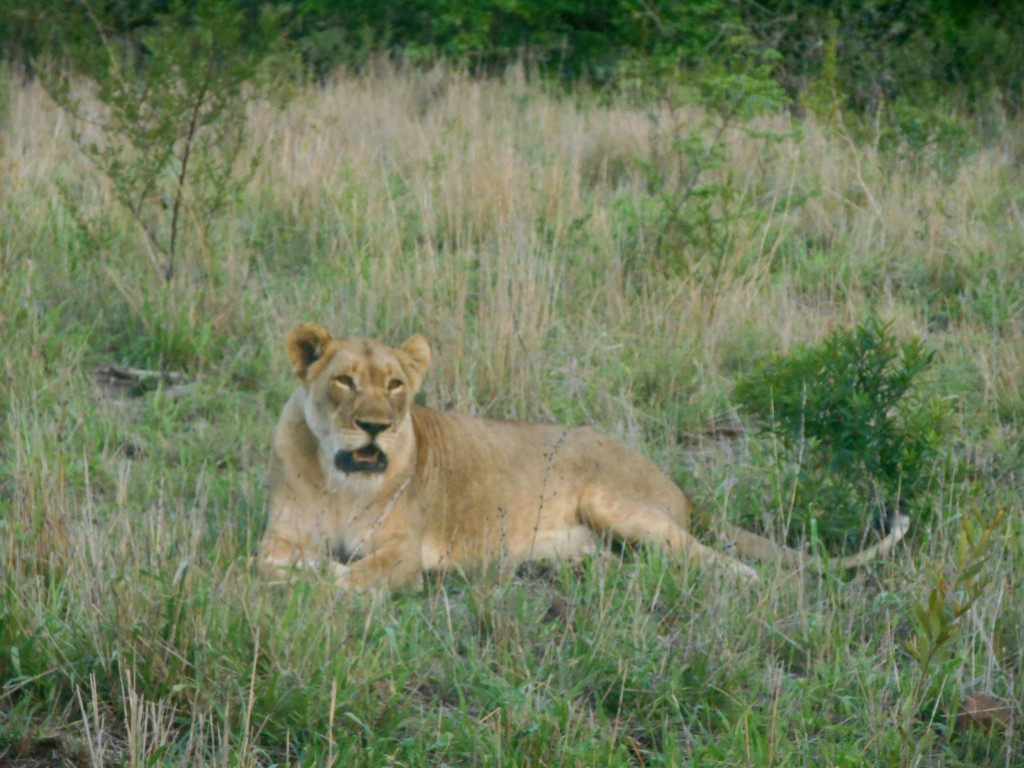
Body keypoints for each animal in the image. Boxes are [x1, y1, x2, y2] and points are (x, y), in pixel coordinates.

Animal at [257, 324, 909, 591]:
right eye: (344, 380)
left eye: (395, 385)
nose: (376, 427)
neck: (340, 481)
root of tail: (679, 488)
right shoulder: (279, 536)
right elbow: (266, 562)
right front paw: (302, 571)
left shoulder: (404, 551)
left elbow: (353, 576)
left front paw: (323, 578)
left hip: (615, 503)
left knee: (720, 563)